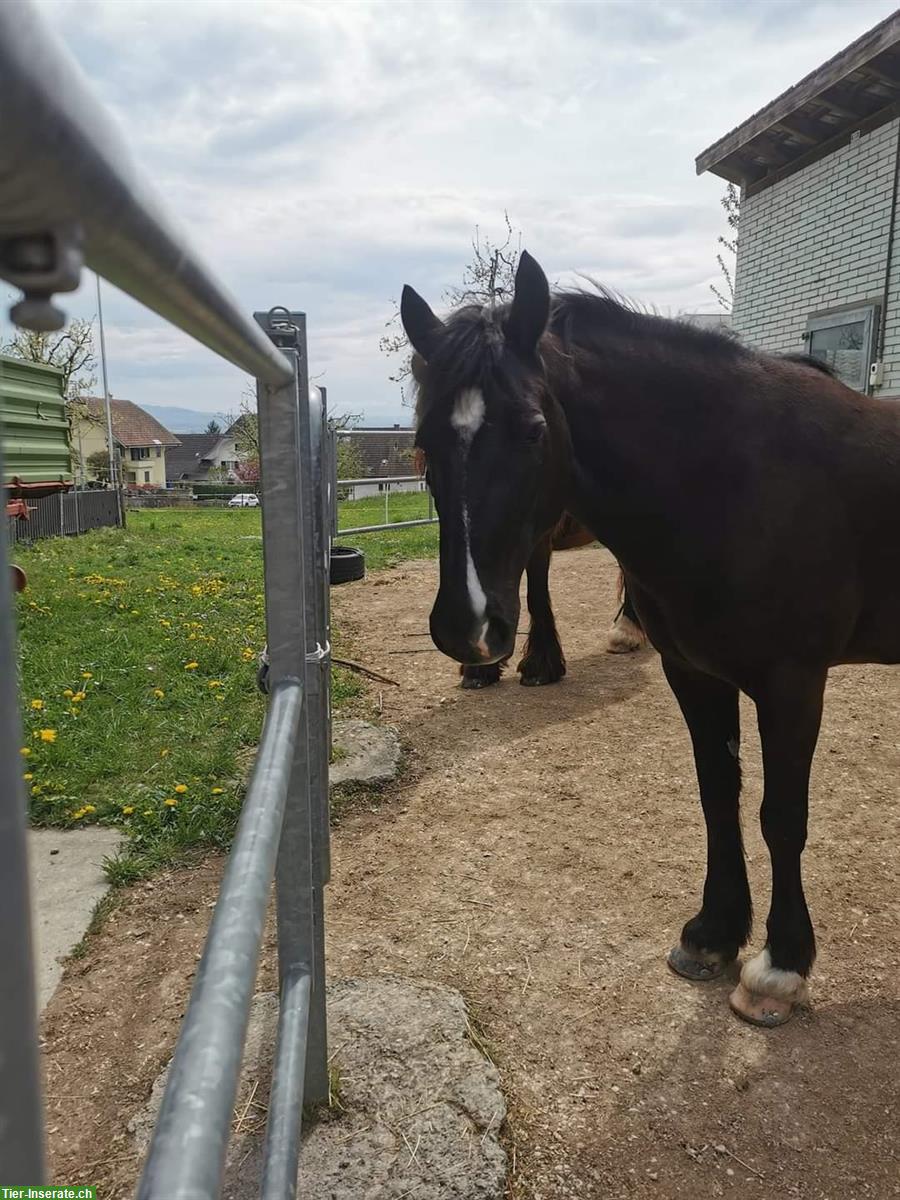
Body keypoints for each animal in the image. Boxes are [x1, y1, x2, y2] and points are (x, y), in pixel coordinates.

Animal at [400, 248, 900, 1027]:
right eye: (425, 443)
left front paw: (780, 967)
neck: (738, 481)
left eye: (533, 429)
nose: (466, 626)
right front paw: (714, 933)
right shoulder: (696, 674)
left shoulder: (793, 683)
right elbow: (718, 795)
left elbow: (782, 816)